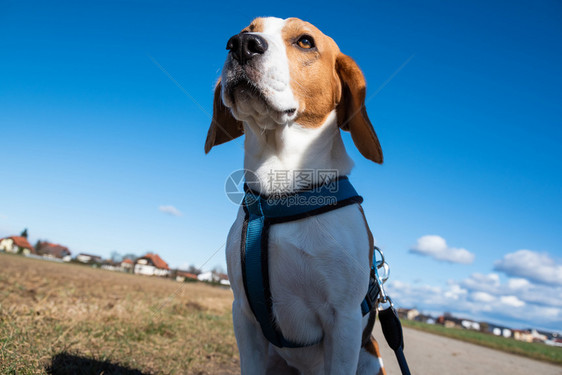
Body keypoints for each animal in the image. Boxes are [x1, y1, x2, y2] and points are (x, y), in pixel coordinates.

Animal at [206, 17, 384, 375]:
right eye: (247, 28)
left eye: (305, 41)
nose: (242, 44)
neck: (281, 194)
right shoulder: (242, 313)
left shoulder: (344, 321)